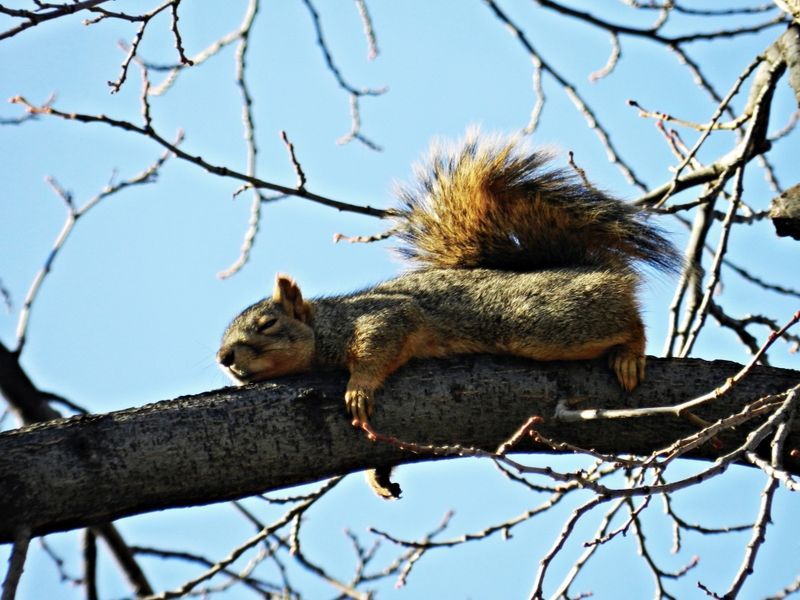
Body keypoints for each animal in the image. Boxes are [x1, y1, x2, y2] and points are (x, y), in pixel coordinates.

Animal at [217, 131, 680, 499]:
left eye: (268, 324)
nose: (224, 358)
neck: (326, 324)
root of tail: (591, 269)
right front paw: (377, 477)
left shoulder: (382, 315)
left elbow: (379, 343)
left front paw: (359, 388)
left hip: (543, 322)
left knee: (627, 321)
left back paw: (629, 353)